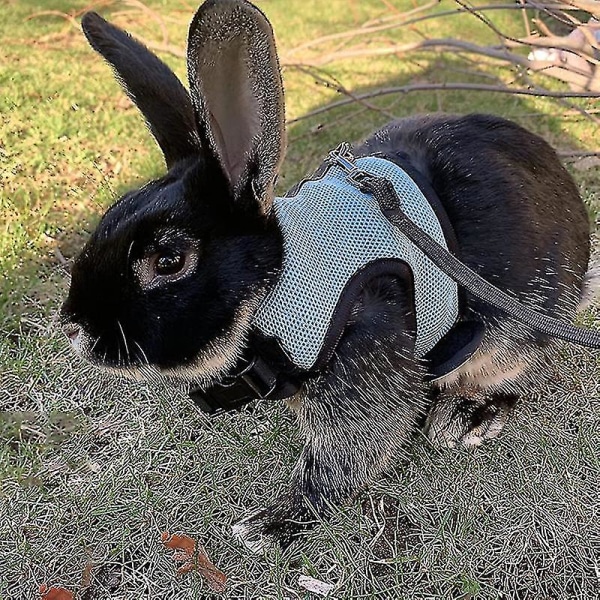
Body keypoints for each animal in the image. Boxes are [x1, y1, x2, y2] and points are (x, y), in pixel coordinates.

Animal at [61, 0, 596, 552]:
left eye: (168, 261)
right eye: (110, 216)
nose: (73, 327)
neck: (276, 283)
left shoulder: (363, 355)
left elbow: (342, 457)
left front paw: (270, 525)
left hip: (513, 330)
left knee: (515, 373)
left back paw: (465, 417)